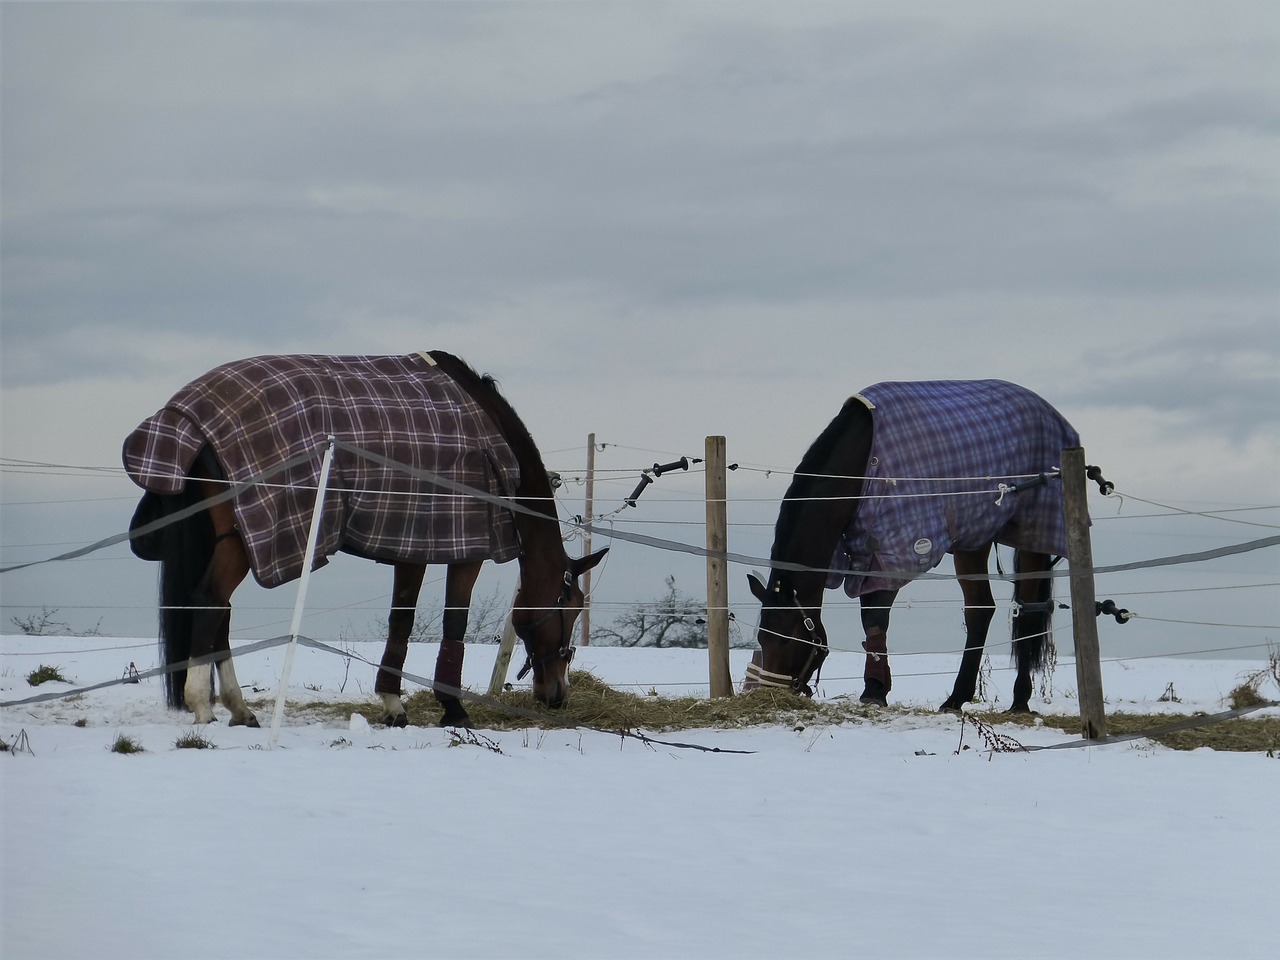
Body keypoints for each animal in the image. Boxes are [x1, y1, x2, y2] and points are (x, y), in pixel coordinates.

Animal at [124, 353, 604, 727]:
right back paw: (203, 705)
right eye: (571, 606)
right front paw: (452, 709)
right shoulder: (465, 551)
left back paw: (240, 709)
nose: (557, 693)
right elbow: (452, 624)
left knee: (218, 611)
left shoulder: (412, 548)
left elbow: (400, 622)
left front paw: (393, 705)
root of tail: (188, 420)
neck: (493, 438)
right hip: (245, 544)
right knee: (208, 601)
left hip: (228, 539)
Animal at [747, 381, 1080, 716]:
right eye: (762, 637)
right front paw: (878, 687)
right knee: (980, 609)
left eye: (786, 639)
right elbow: (870, 619)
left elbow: (875, 618)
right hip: (973, 538)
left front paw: (874, 690)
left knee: (1026, 612)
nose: (770, 695)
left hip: (1031, 536)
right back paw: (957, 698)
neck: (864, 462)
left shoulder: (893, 550)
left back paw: (1019, 700)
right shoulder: (865, 550)